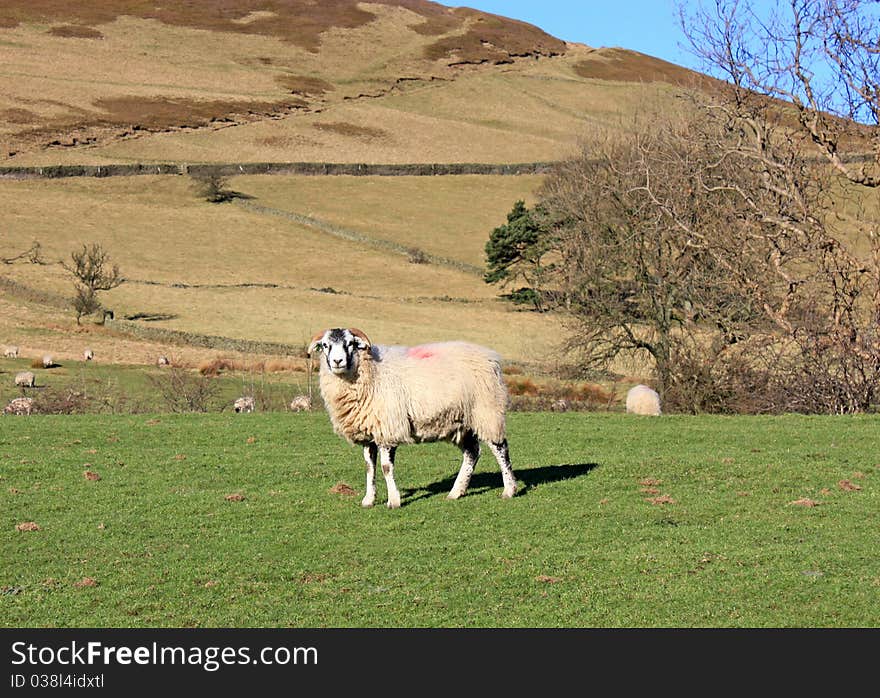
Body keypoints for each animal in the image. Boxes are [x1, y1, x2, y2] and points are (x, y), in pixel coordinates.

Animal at [308, 326, 516, 506]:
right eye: (325, 345)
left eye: (350, 343)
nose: (337, 361)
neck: (371, 371)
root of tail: (490, 357)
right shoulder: (369, 433)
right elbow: (369, 467)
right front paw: (368, 500)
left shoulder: (388, 429)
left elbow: (385, 467)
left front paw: (393, 501)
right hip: (461, 421)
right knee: (472, 452)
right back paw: (456, 492)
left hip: (487, 411)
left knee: (500, 449)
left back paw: (509, 490)